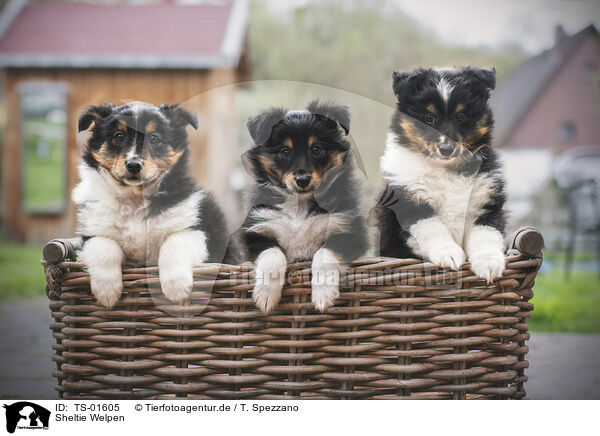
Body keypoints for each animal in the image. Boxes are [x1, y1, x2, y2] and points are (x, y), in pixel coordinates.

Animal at [74, 102, 236, 306]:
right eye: (119, 136)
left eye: (154, 138)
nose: (134, 165)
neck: (135, 198)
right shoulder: (93, 232)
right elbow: (104, 247)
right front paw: (107, 293)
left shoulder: (197, 231)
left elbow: (173, 245)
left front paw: (176, 288)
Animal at [241, 101, 368, 314]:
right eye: (285, 151)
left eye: (316, 149)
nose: (302, 180)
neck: (299, 205)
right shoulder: (256, 231)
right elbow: (272, 254)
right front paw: (266, 297)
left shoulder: (349, 232)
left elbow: (323, 254)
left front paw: (323, 295)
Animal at [376, 66, 506, 282]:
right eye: (429, 118)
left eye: (460, 116)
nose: (446, 149)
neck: (447, 169)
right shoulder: (410, 202)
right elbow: (433, 229)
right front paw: (449, 254)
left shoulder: (486, 203)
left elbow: (486, 234)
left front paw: (489, 264)